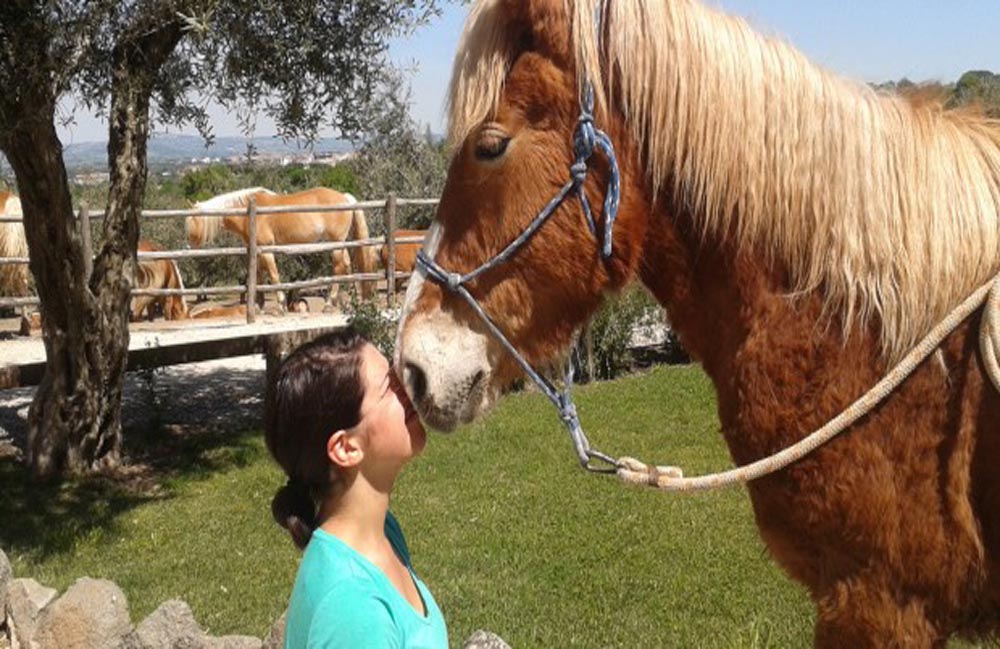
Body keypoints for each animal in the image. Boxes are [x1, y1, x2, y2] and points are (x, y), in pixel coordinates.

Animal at [185, 187, 377, 310]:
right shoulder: (257, 252)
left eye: (190, 222)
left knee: (338, 268)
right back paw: (348, 300)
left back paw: (330, 303)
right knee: (347, 265)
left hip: (336, 244)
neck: (248, 212)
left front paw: (280, 305)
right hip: (340, 244)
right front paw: (259, 305)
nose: (188, 246)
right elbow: (259, 277)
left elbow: (274, 276)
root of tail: (345, 198)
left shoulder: (268, 250)